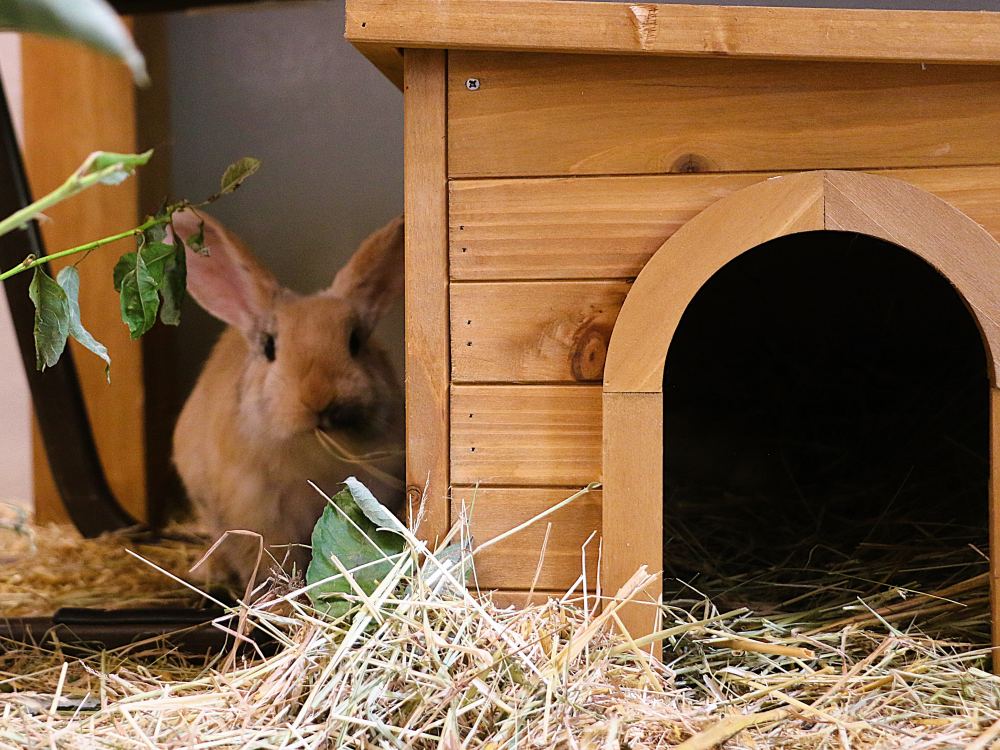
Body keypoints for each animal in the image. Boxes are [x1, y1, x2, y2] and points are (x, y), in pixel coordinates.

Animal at [170, 210, 405, 587]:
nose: (318, 396)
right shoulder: (258, 514)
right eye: (269, 347)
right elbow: (271, 562)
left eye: (355, 342)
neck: (312, 449)